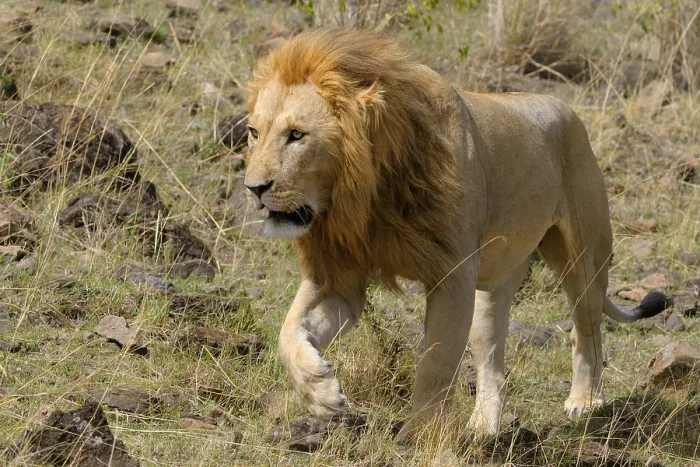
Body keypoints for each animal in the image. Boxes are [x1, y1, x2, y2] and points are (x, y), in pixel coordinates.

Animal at [243, 28, 667, 438]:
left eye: (297, 135)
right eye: (253, 132)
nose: (253, 188)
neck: (366, 196)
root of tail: (567, 110)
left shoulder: (452, 275)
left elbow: (435, 364)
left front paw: (419, 436)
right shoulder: (339, 276)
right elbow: (289, 332)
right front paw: (321, 392)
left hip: (583, 257)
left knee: (587, 330)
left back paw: (585, 400)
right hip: (494, 286)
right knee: (494, 361)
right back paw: (483, 428)